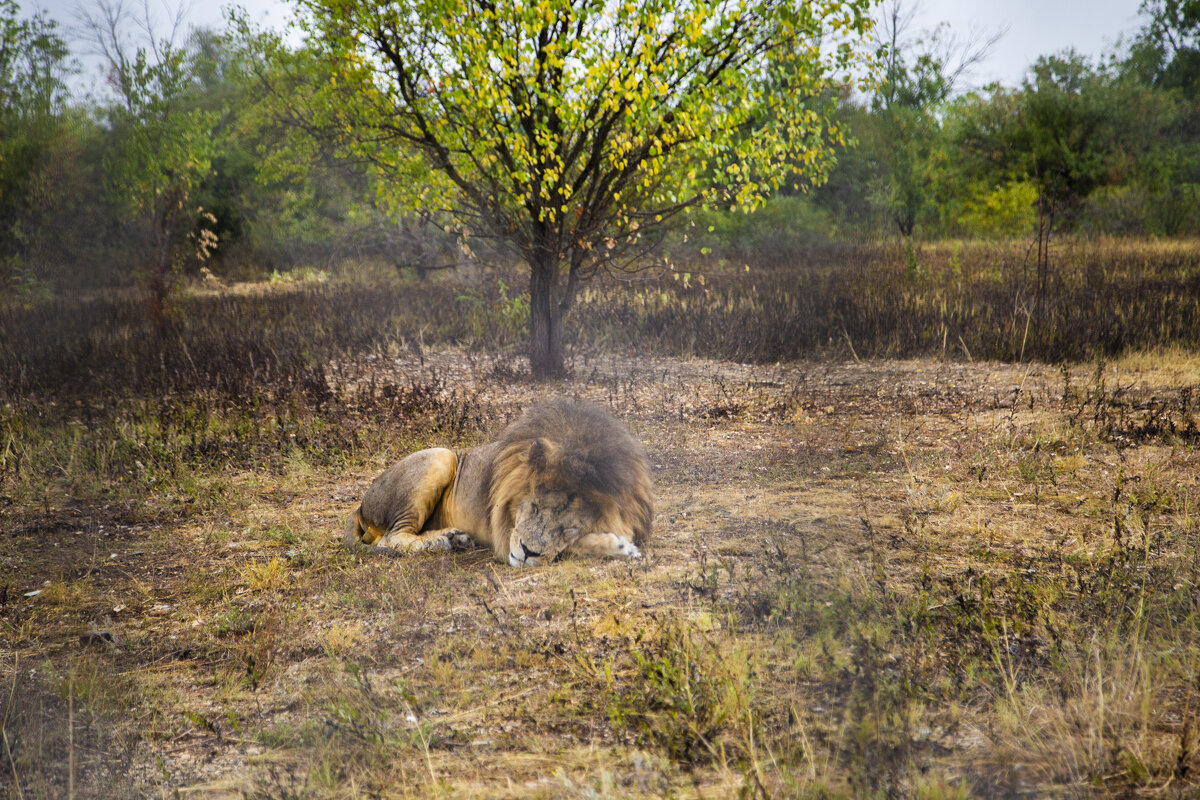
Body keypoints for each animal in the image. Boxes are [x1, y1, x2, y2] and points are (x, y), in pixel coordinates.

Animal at [343, 398, 652, 566]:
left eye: (569, 527)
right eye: (535, 507)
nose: (526, 553)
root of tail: (361, 506)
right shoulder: (504, 534)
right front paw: (621, 547)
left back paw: (454, 538)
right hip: (441, 456)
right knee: (391, 538)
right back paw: (444, 540)